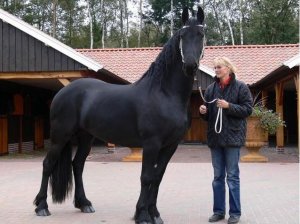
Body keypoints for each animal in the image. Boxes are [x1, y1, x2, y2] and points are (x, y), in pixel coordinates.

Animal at [34, 6, 205, 224]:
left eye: (200, 34)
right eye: (182, 36)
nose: (190, 65)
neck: (165, 94)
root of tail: (63, 92)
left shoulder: (170, 145)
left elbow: (158, 177)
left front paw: (154, 214)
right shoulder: (152, 143)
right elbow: (146, 177)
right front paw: (142, 215)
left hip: (85, 137)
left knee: (78, 165)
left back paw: (84, 204)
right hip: (60, 136)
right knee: (48, 164)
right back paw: (41, 207)